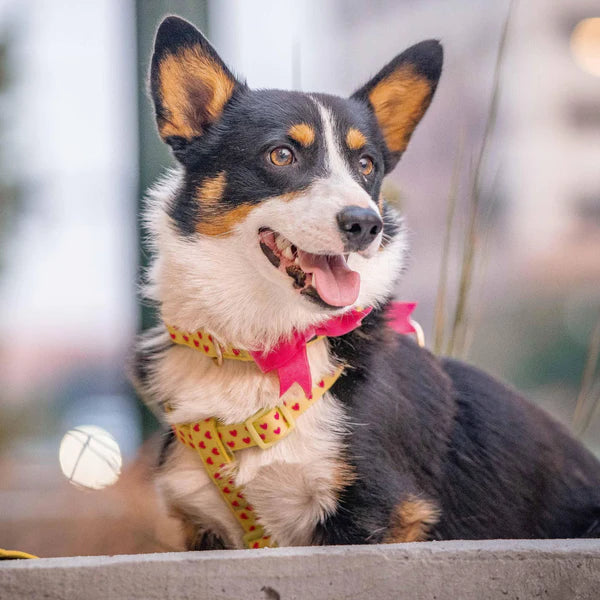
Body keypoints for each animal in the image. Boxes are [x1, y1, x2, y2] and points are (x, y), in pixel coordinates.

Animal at [132, 15, 600, 548]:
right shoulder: (207, 525)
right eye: (281, 155)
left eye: (366, 165)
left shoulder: (379, 513)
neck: (269, 347)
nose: (365, 224)